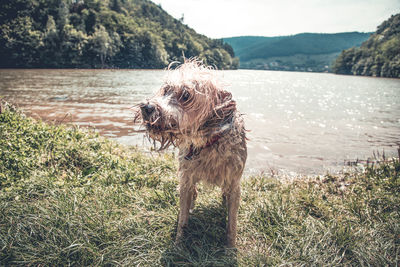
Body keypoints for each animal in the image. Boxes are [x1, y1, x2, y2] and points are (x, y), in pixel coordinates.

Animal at [134, 59, 247, 248]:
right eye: (166, 90)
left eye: (186, 95)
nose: (147, 107)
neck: (207, 143)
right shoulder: (186, 178)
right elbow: (183, 218)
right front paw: (179, 243)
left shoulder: (234, 182)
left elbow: (232, 222)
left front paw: (230, 247)